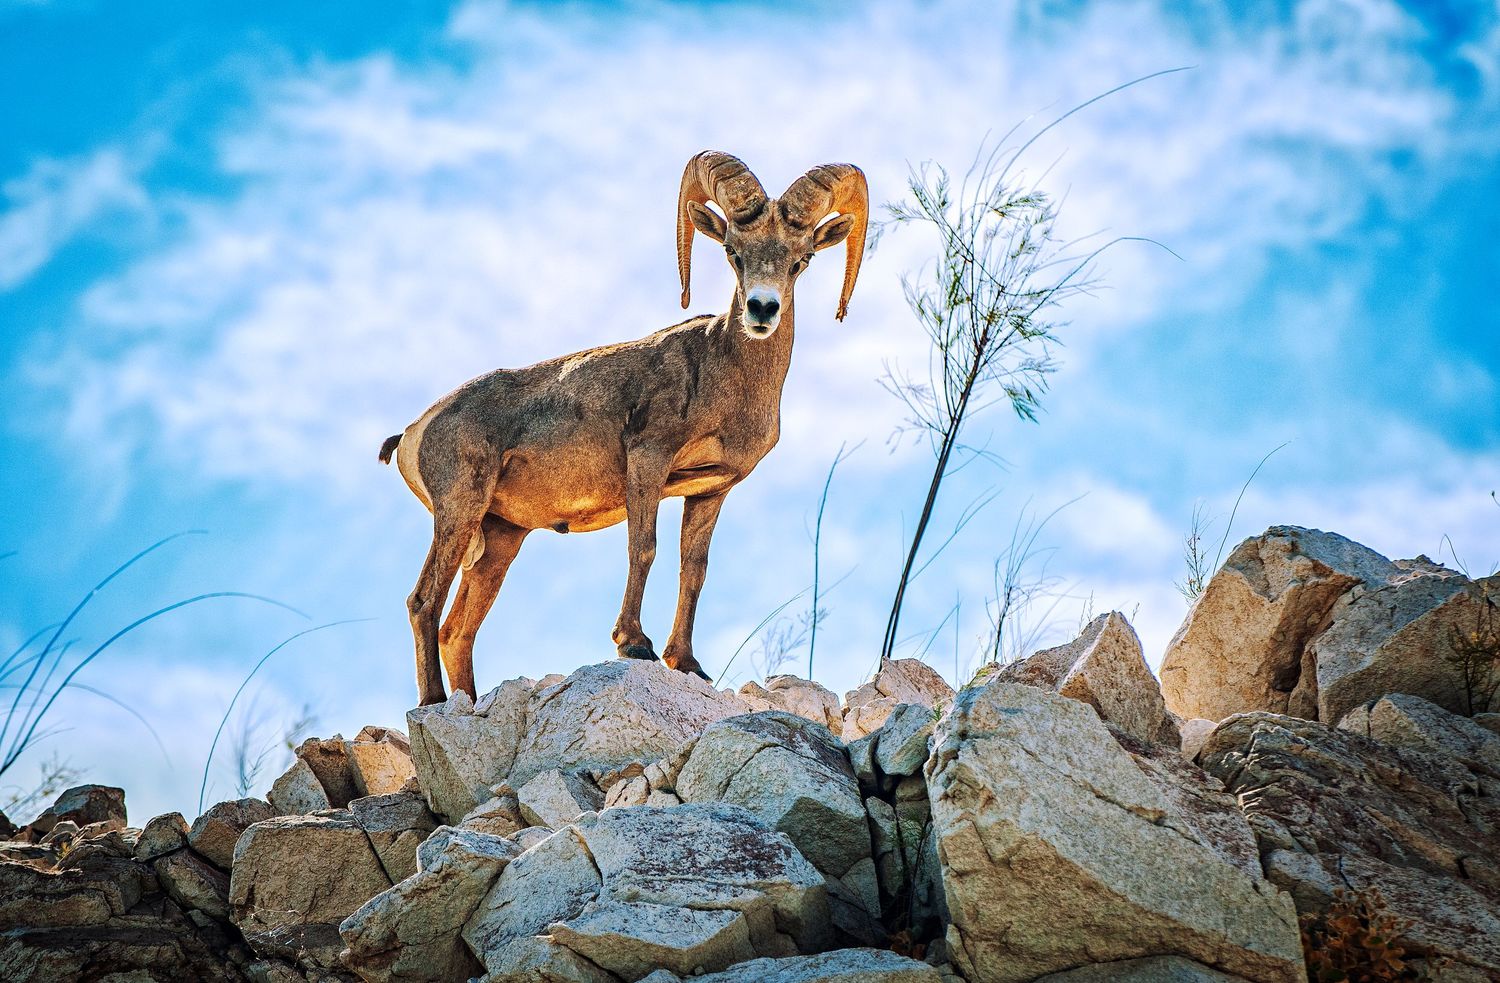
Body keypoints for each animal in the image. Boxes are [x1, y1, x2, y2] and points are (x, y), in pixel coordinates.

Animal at [380, 151, 868, 705]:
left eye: (800, 260)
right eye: (734, 253)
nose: (761, 309)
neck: (723, 375)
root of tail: (413, 433)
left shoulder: (711, 490)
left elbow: (693, 569)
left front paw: (687, 663)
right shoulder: (648, 461)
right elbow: (644, 548)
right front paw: (634, 644)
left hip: (500, 537)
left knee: (458, 629)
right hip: (460, 511)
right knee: (423, 602)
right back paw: (434, 703)